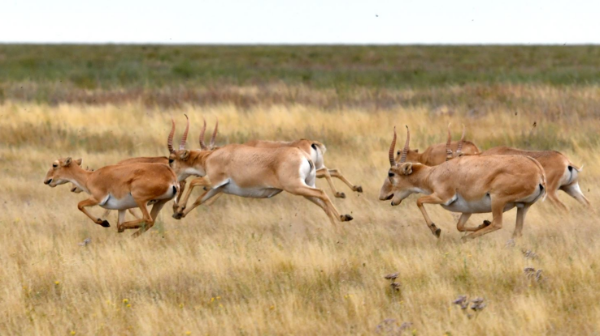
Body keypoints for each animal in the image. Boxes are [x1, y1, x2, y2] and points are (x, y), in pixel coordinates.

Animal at [43, 157, 179, 236]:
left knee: (148, 219)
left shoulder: (97, 199)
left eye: (54, 165)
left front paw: (104, 222)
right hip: (160, 203)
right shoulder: (122, 208)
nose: (46, 181)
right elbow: (119, 224)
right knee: (150, 222)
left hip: (141, 200)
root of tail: (171, 177)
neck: (90, 177)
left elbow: (80, 205)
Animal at [165, 119, 352, 224]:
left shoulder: (212, 181)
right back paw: (340, 221)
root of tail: (307, 152)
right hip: (306, 187)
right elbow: (200, 200)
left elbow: (193, 182)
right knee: (323, 200)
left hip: (296, 187)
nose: (174, 180)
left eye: (171, 159)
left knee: (322, 192)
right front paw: (179, 214)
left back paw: (343, 215)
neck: (212, 156)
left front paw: (179, 208)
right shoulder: (218, 187)